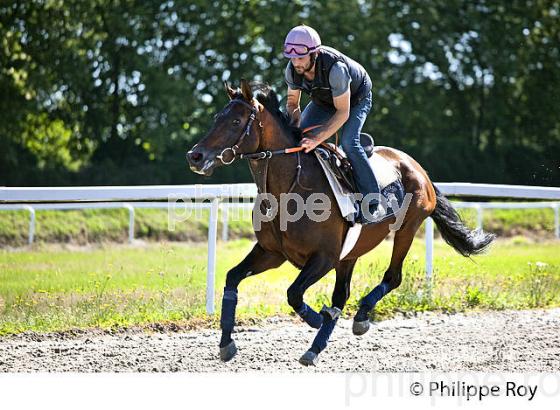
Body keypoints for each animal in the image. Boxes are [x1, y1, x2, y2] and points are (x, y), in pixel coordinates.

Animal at [186, 78, 492, 366]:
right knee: (342, 295)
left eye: (236, 121)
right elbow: (232, 278)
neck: (289, 189)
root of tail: (417, 167)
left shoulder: (324, 257)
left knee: (391, 277)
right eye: (216, 117)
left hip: (407, 228)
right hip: (352, 252)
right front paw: (226, 344)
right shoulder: (272, 253)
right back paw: (320, 344)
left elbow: (293, 293)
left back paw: (358, 317)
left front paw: (316, 318)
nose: (195, 156)